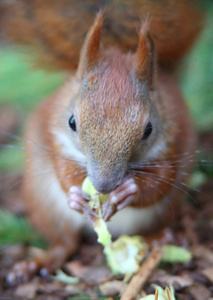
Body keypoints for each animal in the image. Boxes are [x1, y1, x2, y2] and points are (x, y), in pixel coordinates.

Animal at [0, 0, 203, 286]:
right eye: (72, 121)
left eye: (148, 129)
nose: (103, 185)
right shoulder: (54, 136)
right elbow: (63, 170)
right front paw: (76, 195)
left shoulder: (172, 144)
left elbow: (161, 180)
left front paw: (128, 191)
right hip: (44, 204)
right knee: (65, 243)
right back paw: (36, 263)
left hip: (160, 215)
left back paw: (162, 237)